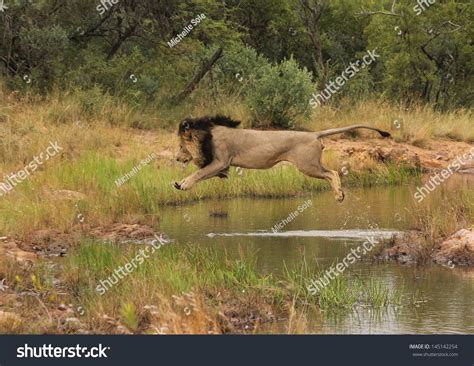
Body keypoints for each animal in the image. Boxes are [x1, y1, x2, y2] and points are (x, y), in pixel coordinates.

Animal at [174, 115, 388, 203]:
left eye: (181, 146)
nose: (176, 158)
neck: (207, 134)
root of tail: (314, 134)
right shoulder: (221, 167)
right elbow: (202, 174)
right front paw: (179, 183)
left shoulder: (220, 161)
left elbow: (199, 173)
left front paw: (184, 184)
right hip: (312, 164)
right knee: (331, 172)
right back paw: (340, 194)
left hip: (308, 165)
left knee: (332, 173)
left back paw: (339, 195)